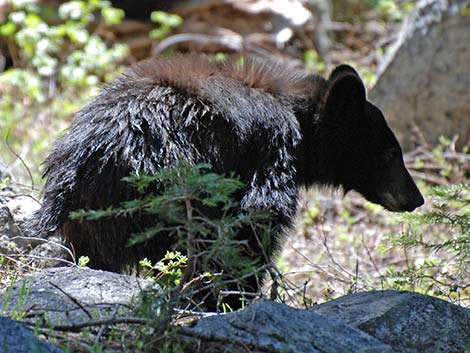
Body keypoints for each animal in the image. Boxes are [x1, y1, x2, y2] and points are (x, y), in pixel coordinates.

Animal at [35, 54, 422, 302]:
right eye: (391, 153)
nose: (416, 198)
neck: (300, 126)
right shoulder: (270, 152)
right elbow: (255, 221)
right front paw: (236, 296)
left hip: (90, 220)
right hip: (172, 186)